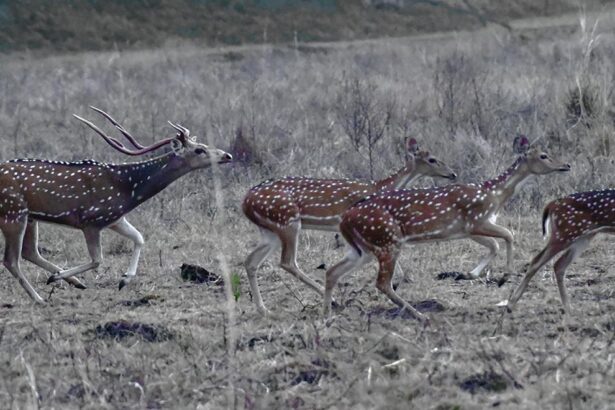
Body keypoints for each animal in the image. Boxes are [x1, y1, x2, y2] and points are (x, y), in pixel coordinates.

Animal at [1, 106, 232, 304]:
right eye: (199, 150)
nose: (227, 155)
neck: (127, 190)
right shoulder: (91, 220)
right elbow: (98, 259)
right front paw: (58, 277)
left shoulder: (114, 218)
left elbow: (139, 237)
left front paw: (124, 279)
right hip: (12, 212)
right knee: (11, 260)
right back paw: (40, 297)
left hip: (29, 217)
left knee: (29, 252)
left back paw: (73, 282)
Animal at [242, 139, 458, 316]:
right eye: (432, 159)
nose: (453, 173)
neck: (379, 187)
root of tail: (245, 202)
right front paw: (402, 278)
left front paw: (405, 278)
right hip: (288, 220)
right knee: (287, 261)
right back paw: (332, 300)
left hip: (270, 230)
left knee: (251, 261)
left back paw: (263, 309)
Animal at [324, 138, 572, 320]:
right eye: (543, 155)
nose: (567, 165)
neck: (494, 195)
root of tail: (345, 219)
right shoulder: (476, 220)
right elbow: (509, 235)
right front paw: (504, 276)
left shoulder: (467, 229)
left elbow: (495, 244)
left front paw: (469, 274)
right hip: (387, 240)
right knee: (382, 283)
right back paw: (419, 315)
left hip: (362, 248)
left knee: (332, 271)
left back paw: (327, 313)